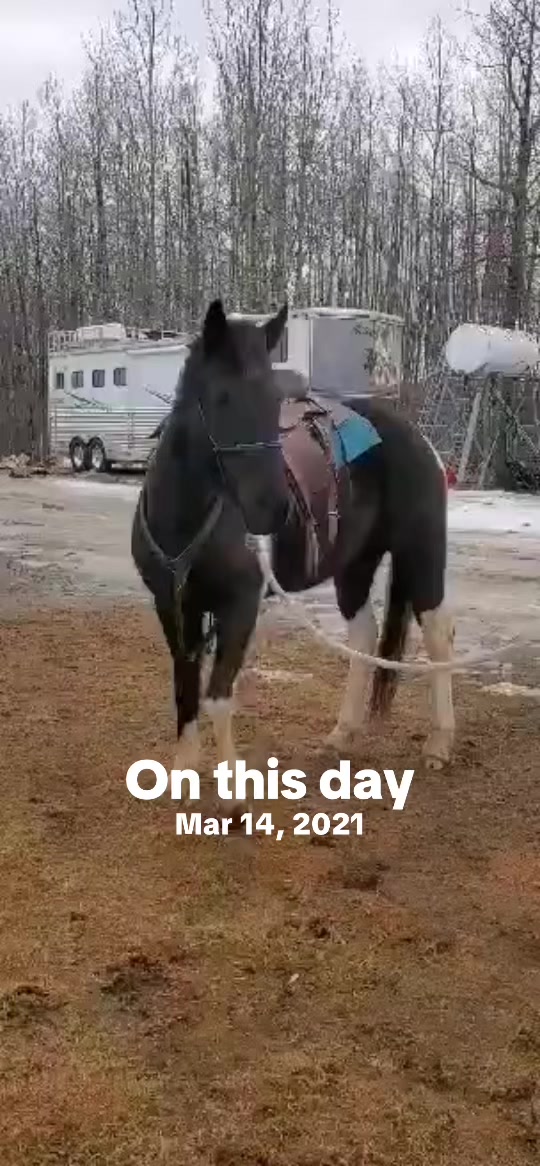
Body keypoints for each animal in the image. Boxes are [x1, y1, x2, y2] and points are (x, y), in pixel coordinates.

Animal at [131, 299, 454, 819]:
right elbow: (185, 687)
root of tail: (413, 434)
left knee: (439, 634)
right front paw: (182, 773)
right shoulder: (173, 605)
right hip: (354, 564)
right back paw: (342, 735)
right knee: (363, 636)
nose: (273, 510)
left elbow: (217, 696)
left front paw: (232, 797)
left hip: (421, 551)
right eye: (222, 398)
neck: (187, 515)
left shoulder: (240, 605)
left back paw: (440, 742)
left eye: (273, 400)